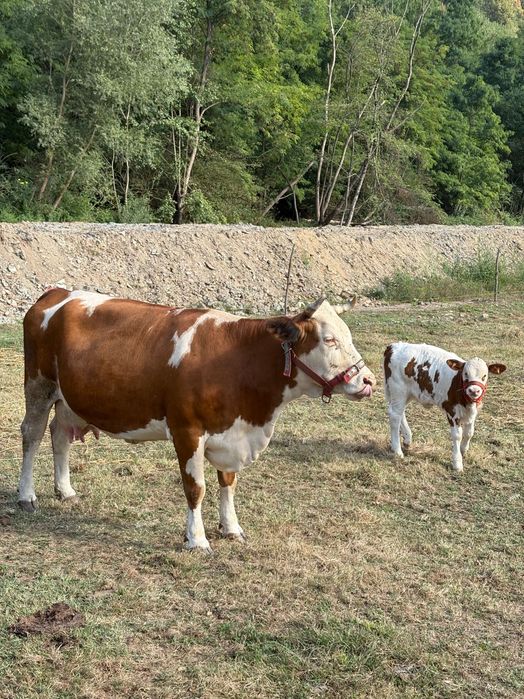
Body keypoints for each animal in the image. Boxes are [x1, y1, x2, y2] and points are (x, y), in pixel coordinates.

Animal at [19, 289, 377, 551]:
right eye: (329, 340)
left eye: (347, 336)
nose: (368, 381)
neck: (239, 360)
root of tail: (57, 293)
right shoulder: (187, 430)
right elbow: (196, 488)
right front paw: (197, 539)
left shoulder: (231, 432)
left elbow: (228, 482)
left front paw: (231, 527)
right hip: (38, 385)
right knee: (32, 435)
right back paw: (26, 495)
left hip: (69, 397)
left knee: (60, 434)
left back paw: (65, 490)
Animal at [384, 342, 506, 472]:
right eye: (466, 374)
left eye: (484, 376)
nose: (474, 391)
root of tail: (394, 346)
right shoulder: (451, 410)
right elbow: (457, 435)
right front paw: (457, 462)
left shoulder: (474, 411)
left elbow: (469, 432)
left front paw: (463, 450)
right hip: (398, 390)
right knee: (395, 416)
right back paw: (397, 451)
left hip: (406, 394)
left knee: (400, 413)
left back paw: (407, 439)